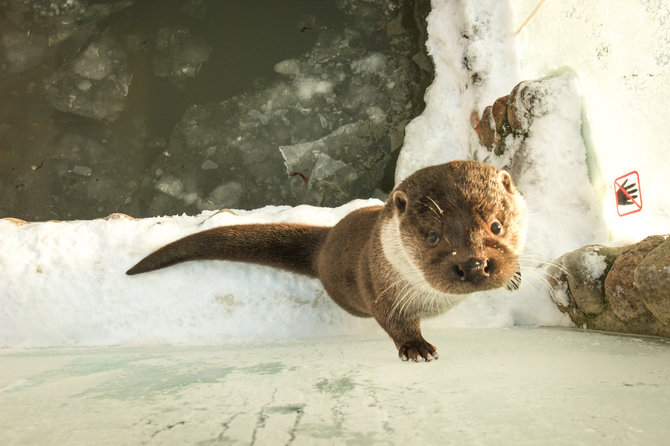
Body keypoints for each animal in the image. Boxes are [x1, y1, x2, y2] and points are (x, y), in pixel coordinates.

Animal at [127, 161, 532, 362]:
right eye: (433, 236)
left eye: (496, 225)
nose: (474, 265)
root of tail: (324, 242)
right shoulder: (379, 285)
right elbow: (394, 322)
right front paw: (416, 348)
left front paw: (515, 276)